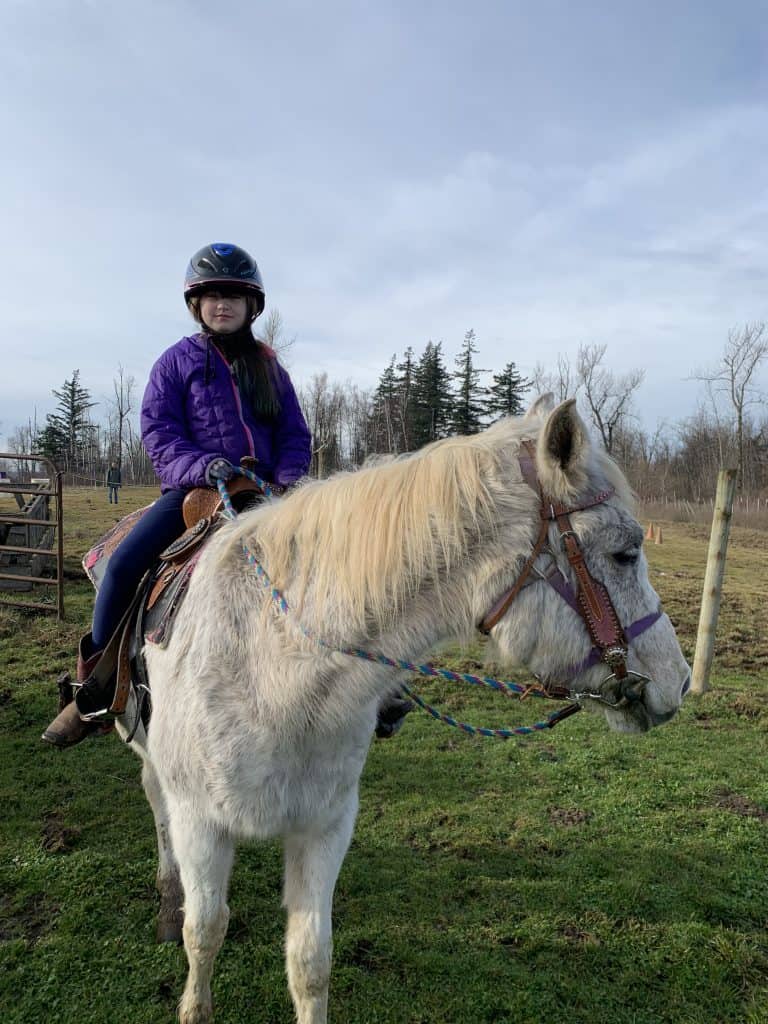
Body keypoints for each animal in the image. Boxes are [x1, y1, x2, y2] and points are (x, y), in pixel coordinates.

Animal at [117, 397, 696, 1024]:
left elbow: (310, 961)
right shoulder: (200, 822)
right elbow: (204, 934)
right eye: (624, 553)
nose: (680, 681)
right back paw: (167, 896)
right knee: (155, 804)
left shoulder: (325, 826)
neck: (274, 672)